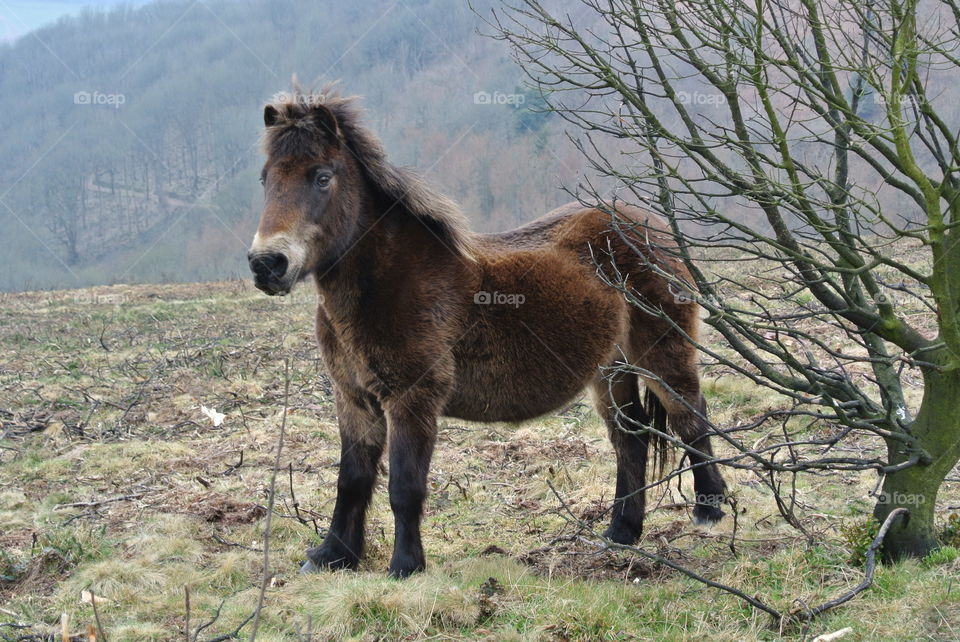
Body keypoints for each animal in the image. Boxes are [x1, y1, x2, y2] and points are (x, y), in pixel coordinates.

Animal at [247, 88, 727, 578]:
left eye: (322, 177)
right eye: (265, 179)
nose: (268, 264)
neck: (387, 281)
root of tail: (652, 228)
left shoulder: (412, 398)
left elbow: (404, 485)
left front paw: (405, 566)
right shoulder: (354, 397)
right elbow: (352, 480)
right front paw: (332, 556)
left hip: (660, 354)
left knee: (690, 416)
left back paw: (708, 511)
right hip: (610, 371)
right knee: (630, 438)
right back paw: (620, 534)